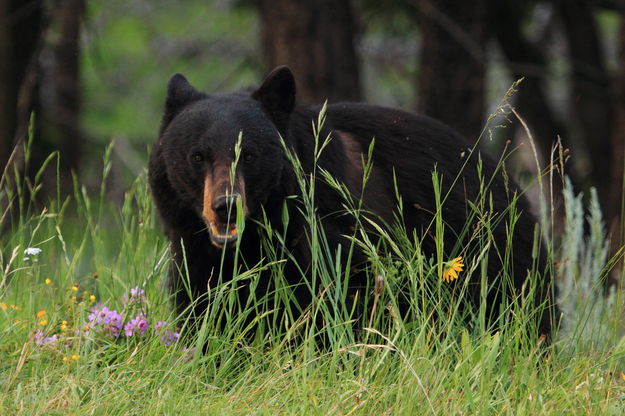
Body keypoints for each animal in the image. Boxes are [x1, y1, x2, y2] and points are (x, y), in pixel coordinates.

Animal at [149, 66, 552, 338]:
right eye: (197, 156)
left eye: (248, 155)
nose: (226, 206)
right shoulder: (194, 250)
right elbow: (206, 306)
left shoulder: (334, 230)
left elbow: (344, 296)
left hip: (491, 256)